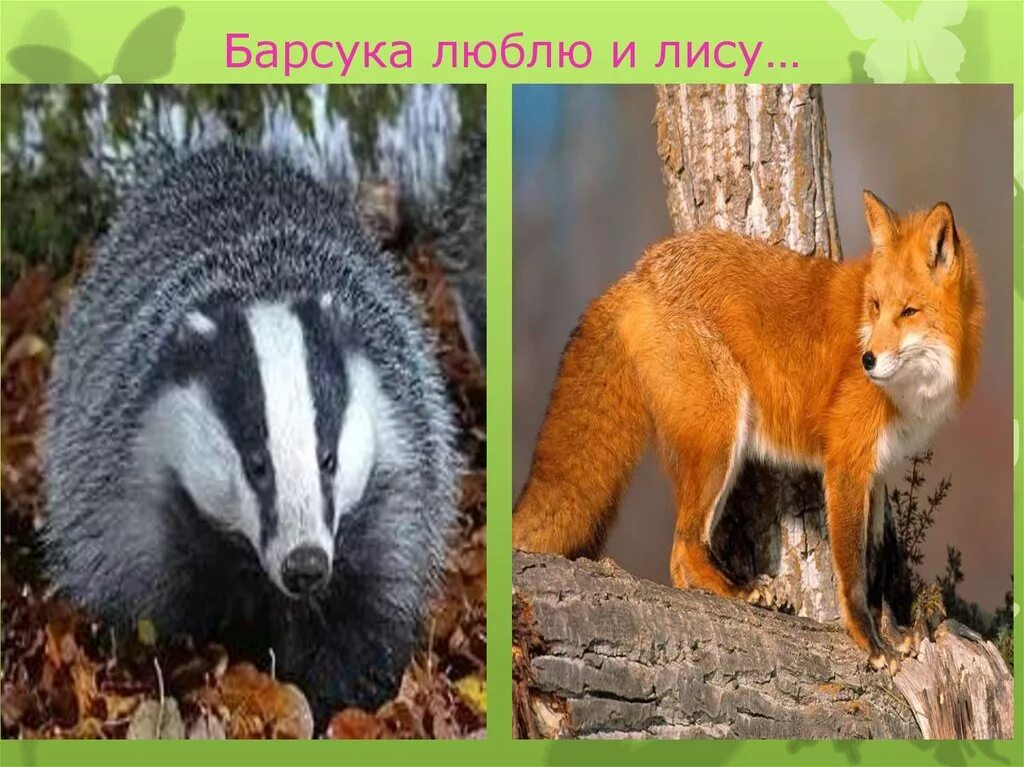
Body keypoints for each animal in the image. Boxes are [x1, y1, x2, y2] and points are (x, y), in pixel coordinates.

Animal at [512, 192, 984, 672]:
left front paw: (894, 633)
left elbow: (878, 569)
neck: (915, 389)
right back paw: (738, 591)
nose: (866, 359)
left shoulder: (878, 472)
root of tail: (640, 271)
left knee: (680, 562)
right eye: (874, 306)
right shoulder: (846, 464)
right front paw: (870, 644)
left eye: (908, 312)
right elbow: (853, 574)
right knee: (682, 550)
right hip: (721, 436)